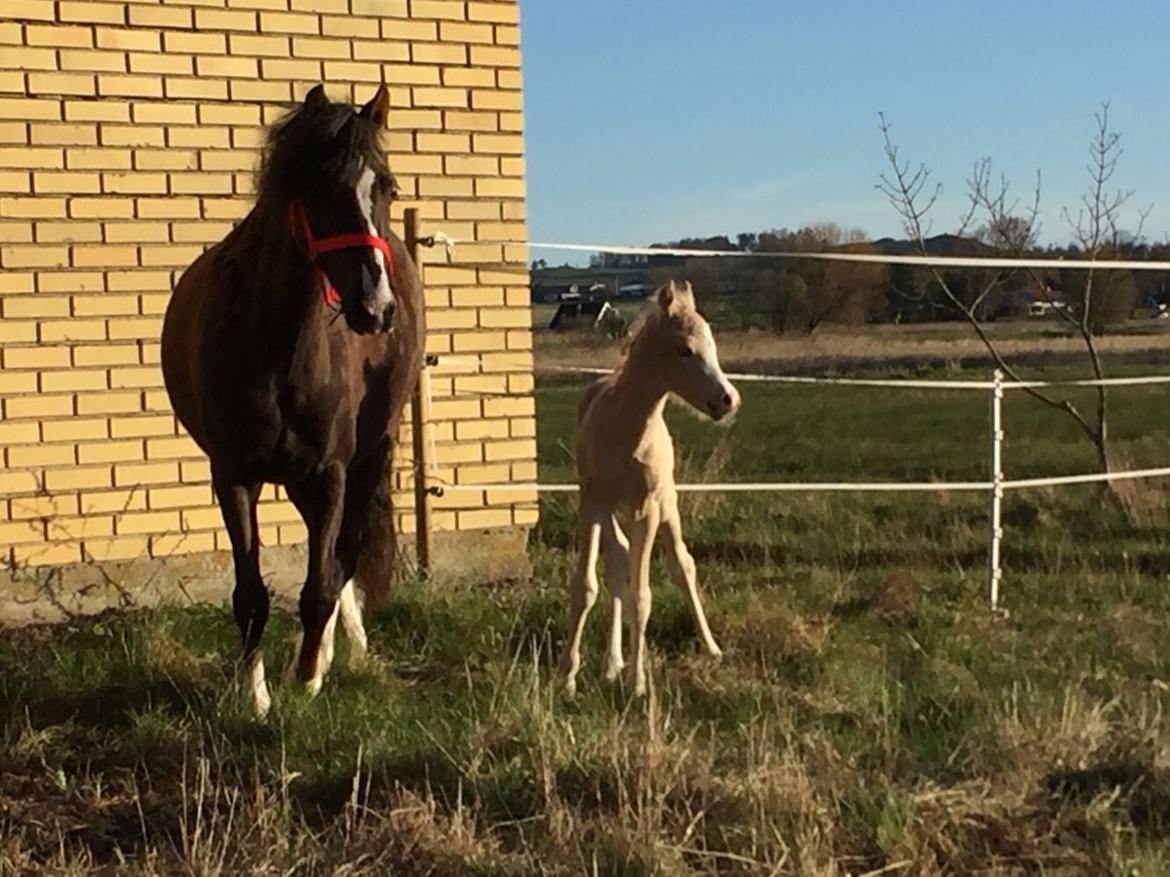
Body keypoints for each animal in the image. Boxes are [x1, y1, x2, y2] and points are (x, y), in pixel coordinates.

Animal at [161, 84, 425, 716]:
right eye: (321, 190)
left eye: (386, 188)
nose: (377, 308)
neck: (278, 348)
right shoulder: (233, 475)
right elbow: (251, 593)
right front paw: (254, 694)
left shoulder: (331, 472)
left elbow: (320, 584)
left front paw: (306, 680)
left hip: (369, 457)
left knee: (342, 556)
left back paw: (320, 659)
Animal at [556, 280, 741, 697]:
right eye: (685, 349)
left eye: (713, 345)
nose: (728, 400)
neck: (626, 428)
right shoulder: (592, 502)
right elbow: (586, 586)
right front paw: (567, 679)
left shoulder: (648, 508)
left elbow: (642, 596)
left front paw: (638, 683)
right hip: (612, 508)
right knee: (619, 560)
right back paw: (612, 663)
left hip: (668, 506)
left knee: (682, 564)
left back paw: (710, 647)